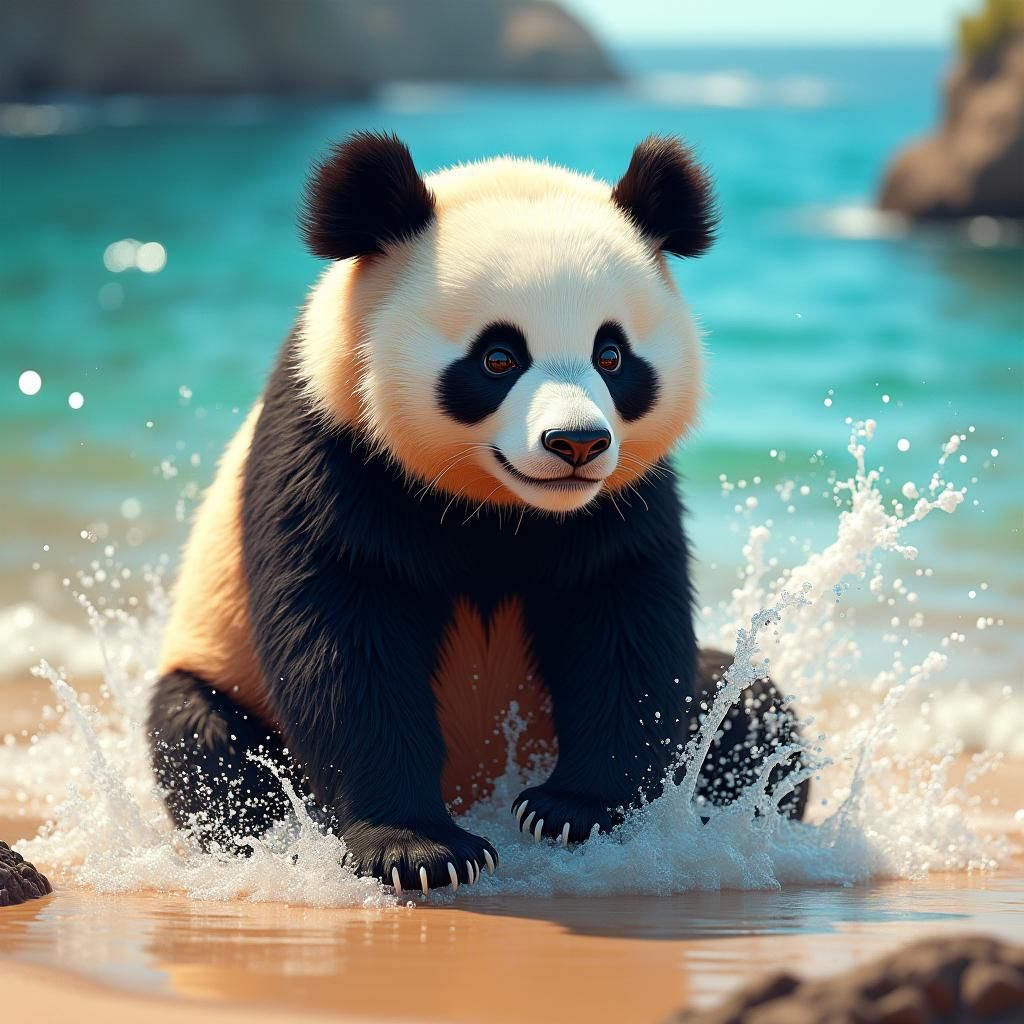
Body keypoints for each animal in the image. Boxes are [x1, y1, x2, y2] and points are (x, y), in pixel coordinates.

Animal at [149, 132, 807, 894]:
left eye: (612, 355)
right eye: (498, 357)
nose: (577, 443)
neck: (500, 501)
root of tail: (475, 785)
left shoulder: (621, 494)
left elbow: (623, 615)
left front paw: (572, 813)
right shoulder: (333, 446)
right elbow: (344, 632)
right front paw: (418, 850)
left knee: (748, 707)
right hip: (221, 667)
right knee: (204, 741)